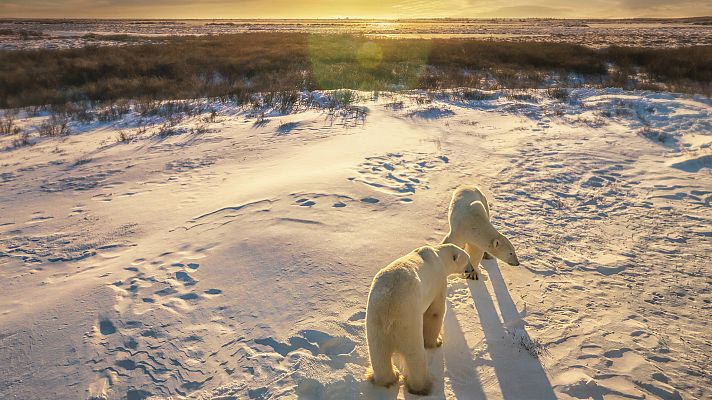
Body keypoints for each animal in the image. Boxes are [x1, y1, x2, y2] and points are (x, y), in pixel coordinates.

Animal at [365, 243, 470, 395]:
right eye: (468, 260)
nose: (471, 271)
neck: (438, 255)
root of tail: (389, 312)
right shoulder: (438, 281)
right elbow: (435, 312)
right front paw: (436, 342)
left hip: (375, 323)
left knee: (379, 354)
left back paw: (389, 377)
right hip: (408, 322)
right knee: (415, 355)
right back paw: (422, 386)